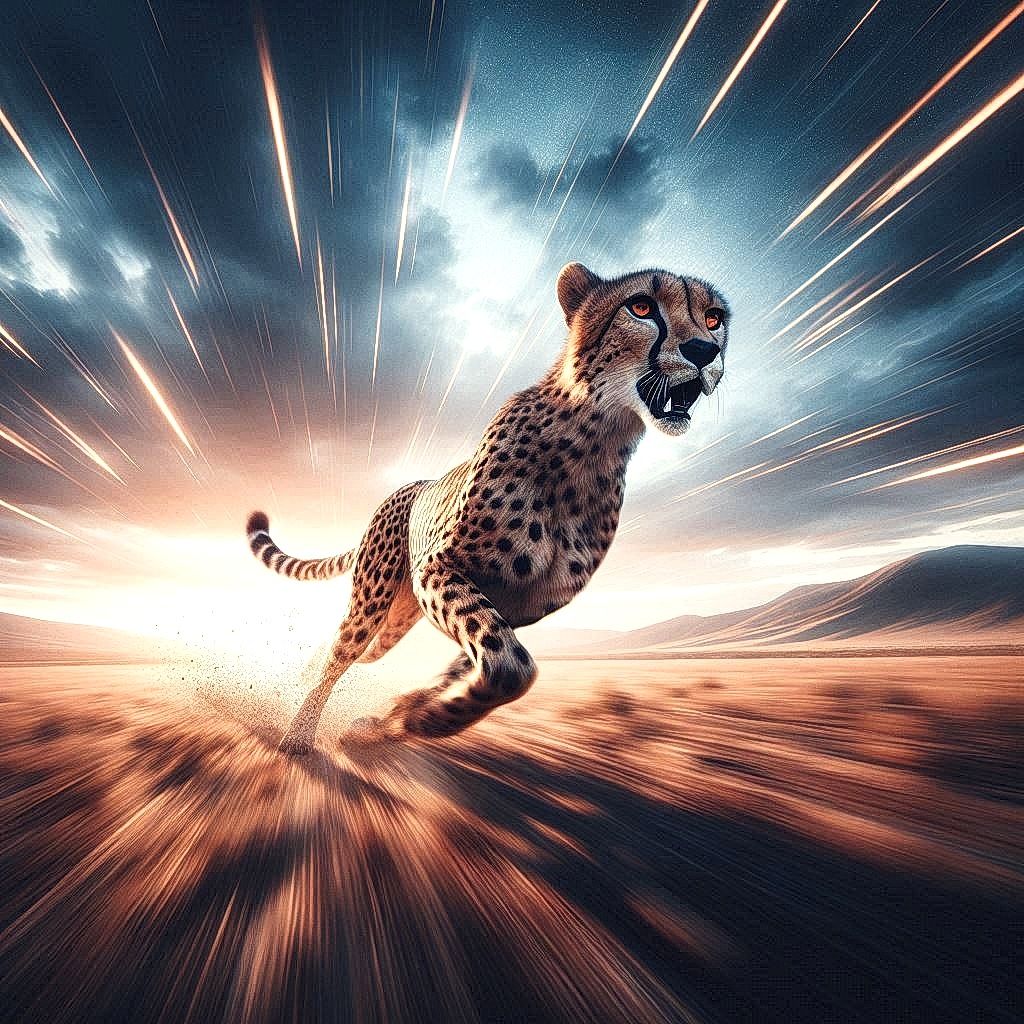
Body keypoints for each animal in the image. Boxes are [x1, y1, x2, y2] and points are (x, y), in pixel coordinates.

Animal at [247, 262, 730, 754]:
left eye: (714, 318)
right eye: (641, 307)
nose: (705, 350)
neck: (595, 442)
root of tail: (404, 488)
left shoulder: (517, 607)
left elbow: (481, 660)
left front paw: (402, 715)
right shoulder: (440, 568)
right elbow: (511, 667)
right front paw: (426, 719)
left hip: (397, 618)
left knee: (350, 652)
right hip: (376, 596)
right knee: (341, 652)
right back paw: (297, 733)